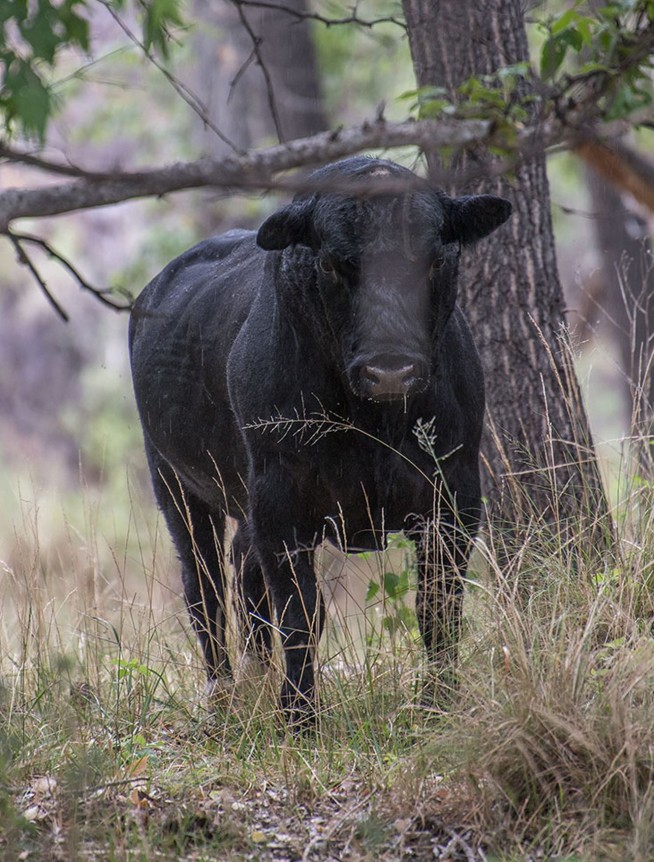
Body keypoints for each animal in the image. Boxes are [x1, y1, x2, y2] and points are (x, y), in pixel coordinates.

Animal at [129, 156, 512, 725]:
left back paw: (257, 674)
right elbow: (301, 614)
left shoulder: (454, 497)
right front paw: (300, 716)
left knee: (242, 571)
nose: (390, 370)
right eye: (333, 264)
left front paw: (439, 703)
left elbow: (438, 608)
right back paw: (224, 693)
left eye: (437, 259)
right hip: (175, 483)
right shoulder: (281, 504)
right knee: (204, 586)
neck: (372, 425)